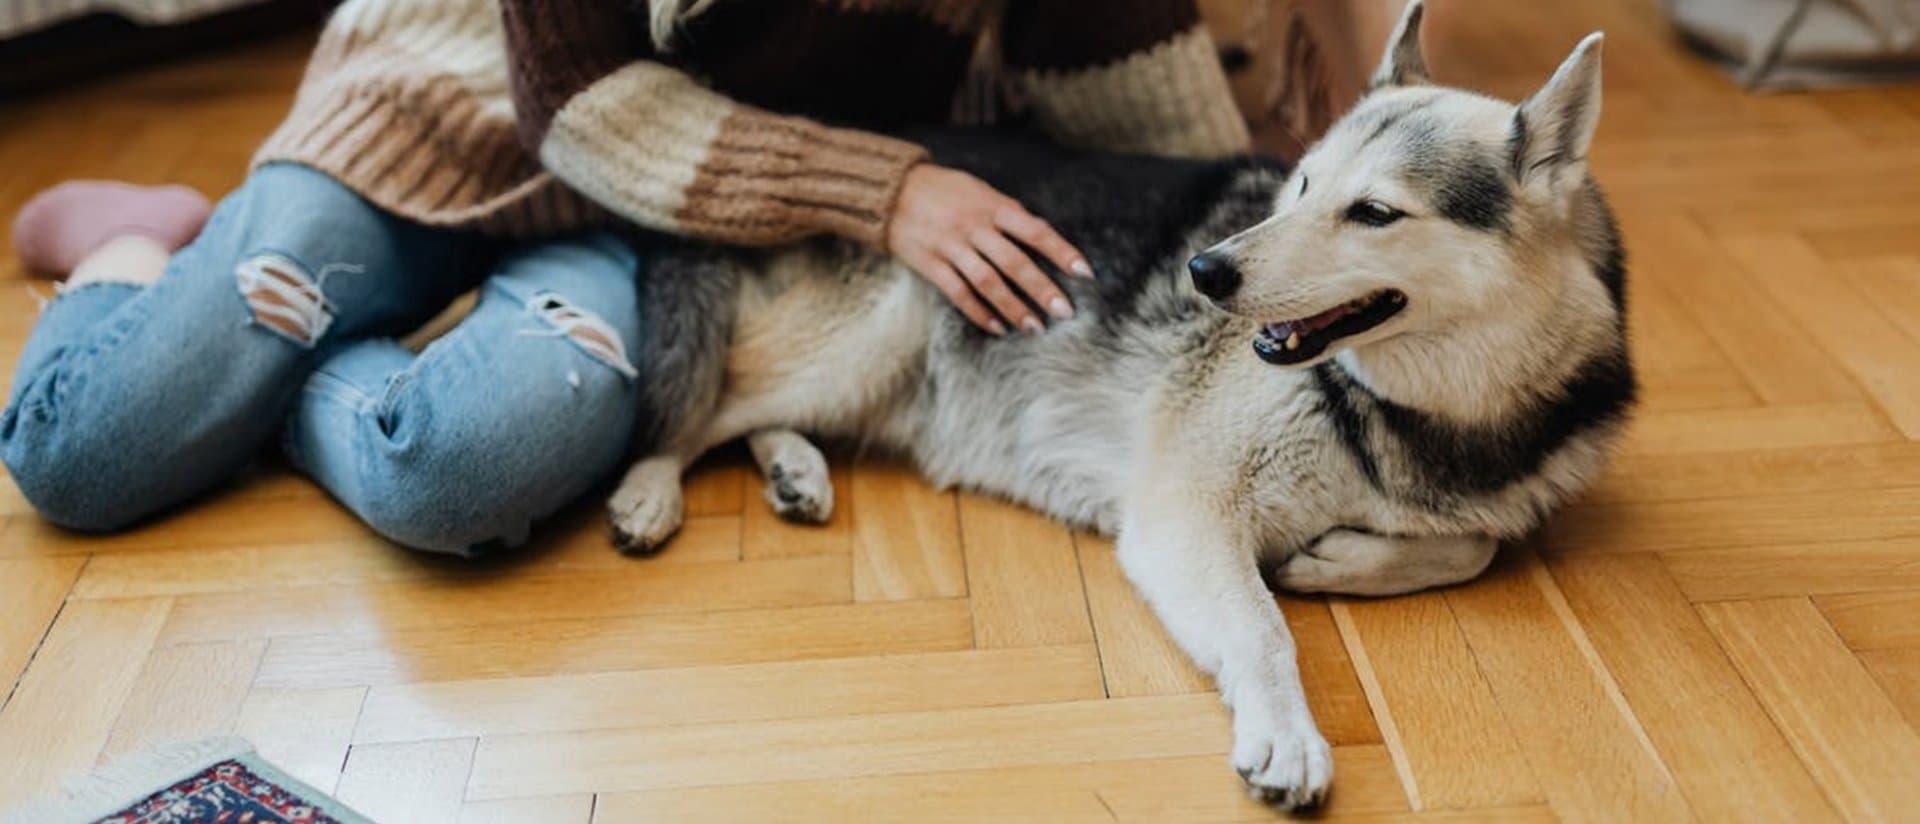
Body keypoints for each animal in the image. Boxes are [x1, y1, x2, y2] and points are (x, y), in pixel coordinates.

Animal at [606, 3, 1628, 806]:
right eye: (1300, 184)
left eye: (1373, 213)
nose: (1205, 271)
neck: (1420, 417)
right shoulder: (1186, 514)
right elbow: (1263, 633)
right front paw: (1286, 730)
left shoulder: (1478, 498)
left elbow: (1476, 544)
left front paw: (1339, 558)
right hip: (869, 339)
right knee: (706, 404)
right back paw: (652, 490)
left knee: (752, 409)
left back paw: (793, 467)